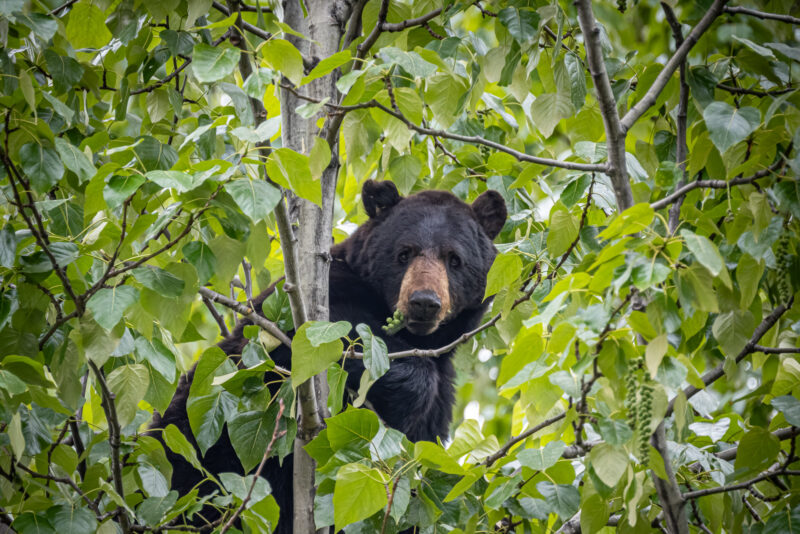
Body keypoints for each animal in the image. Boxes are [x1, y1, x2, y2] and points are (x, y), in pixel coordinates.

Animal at [151, 180, 507, 532]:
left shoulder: (437, 411)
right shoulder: (305, 305)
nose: (423, 302)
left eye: (454, 259)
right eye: (404, 253)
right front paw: (404, 384)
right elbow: (334, 337)